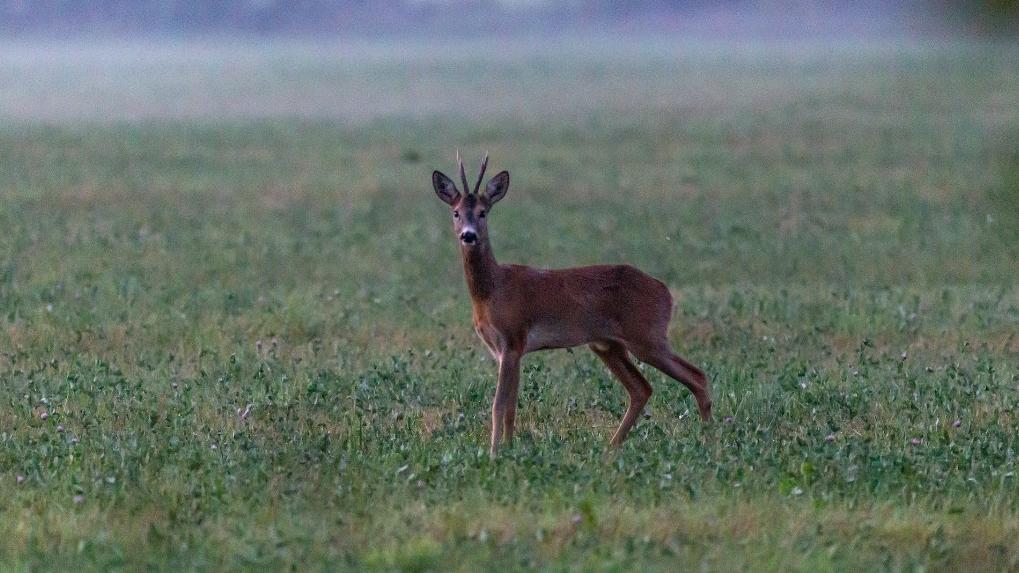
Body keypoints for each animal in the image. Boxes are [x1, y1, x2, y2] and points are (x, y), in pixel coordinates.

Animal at [434, 151, 713, 454]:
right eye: (456, 212)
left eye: (483, 212)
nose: (468, 235)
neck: (491, 291)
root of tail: (666, 292)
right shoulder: (508, 350)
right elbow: (510, 407)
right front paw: (508, 448)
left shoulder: (513, 339)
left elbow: (499, 405)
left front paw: (494, 452)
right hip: (608, 345)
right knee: (642, 388)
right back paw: (611, 448)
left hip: (647, 337)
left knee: (697, 376)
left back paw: (710, 440)